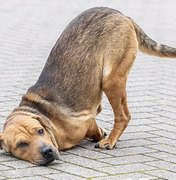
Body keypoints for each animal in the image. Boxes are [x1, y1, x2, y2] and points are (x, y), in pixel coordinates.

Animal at [0, 6, 176, 165]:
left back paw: (110, 141)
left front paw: (100, 134)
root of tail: (120, 14)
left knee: (123, 116)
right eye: (21, 144)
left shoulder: (86, 121)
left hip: (110, 80)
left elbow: (93, 127)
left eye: (40, 130)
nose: (47, 151)